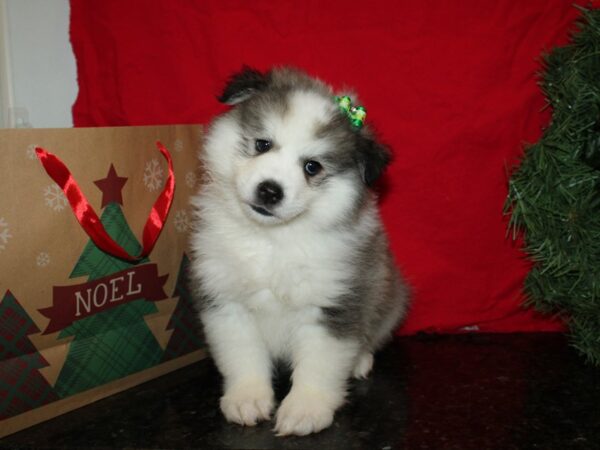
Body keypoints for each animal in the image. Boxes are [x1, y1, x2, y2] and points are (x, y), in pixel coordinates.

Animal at [190, 67, 410, 436]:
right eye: (262, 144)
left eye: (312, 167)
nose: (270, 190)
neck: (273, 240)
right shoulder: (226, 300)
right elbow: (242, 356)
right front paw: (247, 399)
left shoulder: (332, 304)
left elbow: (319, 366)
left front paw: (305, 409)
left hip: (390, 299)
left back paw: (360, 360)